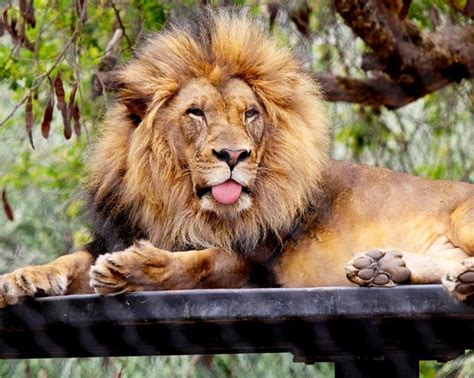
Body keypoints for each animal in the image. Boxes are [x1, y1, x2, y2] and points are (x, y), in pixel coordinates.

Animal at [0, 9, 474, 310]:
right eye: (196, 113)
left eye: (250, 114)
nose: (233, 154)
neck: (177, 204)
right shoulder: (113, 231)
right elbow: (70, 260)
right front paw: (22, 278)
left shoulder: (255, 263)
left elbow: (200, 263)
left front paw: (136, 267)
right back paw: (384, 268)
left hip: (462, 218)